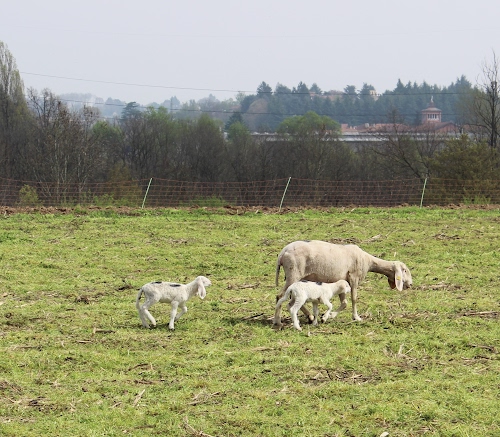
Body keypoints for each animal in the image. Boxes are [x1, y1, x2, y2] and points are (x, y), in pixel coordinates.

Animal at [273, 240, 412, 328]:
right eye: (405, 270)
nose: (410, 285)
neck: (368, 261)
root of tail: (283, 252)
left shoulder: (343, 282)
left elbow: (344, 303)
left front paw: (329, 316)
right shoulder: (354, 277)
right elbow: (354, 299)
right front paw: (356, 317)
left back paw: (310, 317)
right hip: (293, 273)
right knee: (280, 296)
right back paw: (277, 321)